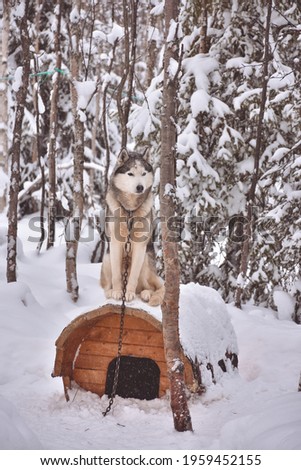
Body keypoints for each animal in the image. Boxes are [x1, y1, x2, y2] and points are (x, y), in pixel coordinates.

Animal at [101, 149, 164, 306]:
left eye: (143, 173)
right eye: (130, 174)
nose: (140, 187)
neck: (130, 211)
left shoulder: (140, 246)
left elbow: (133, 277)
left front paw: (128, 293)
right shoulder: (115, 244)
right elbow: (117, 276)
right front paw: (118, 292)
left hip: (146, 261)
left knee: (151, 287)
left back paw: (146, 294)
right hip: (107, 258)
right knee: (106, 284)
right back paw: (110, 291)